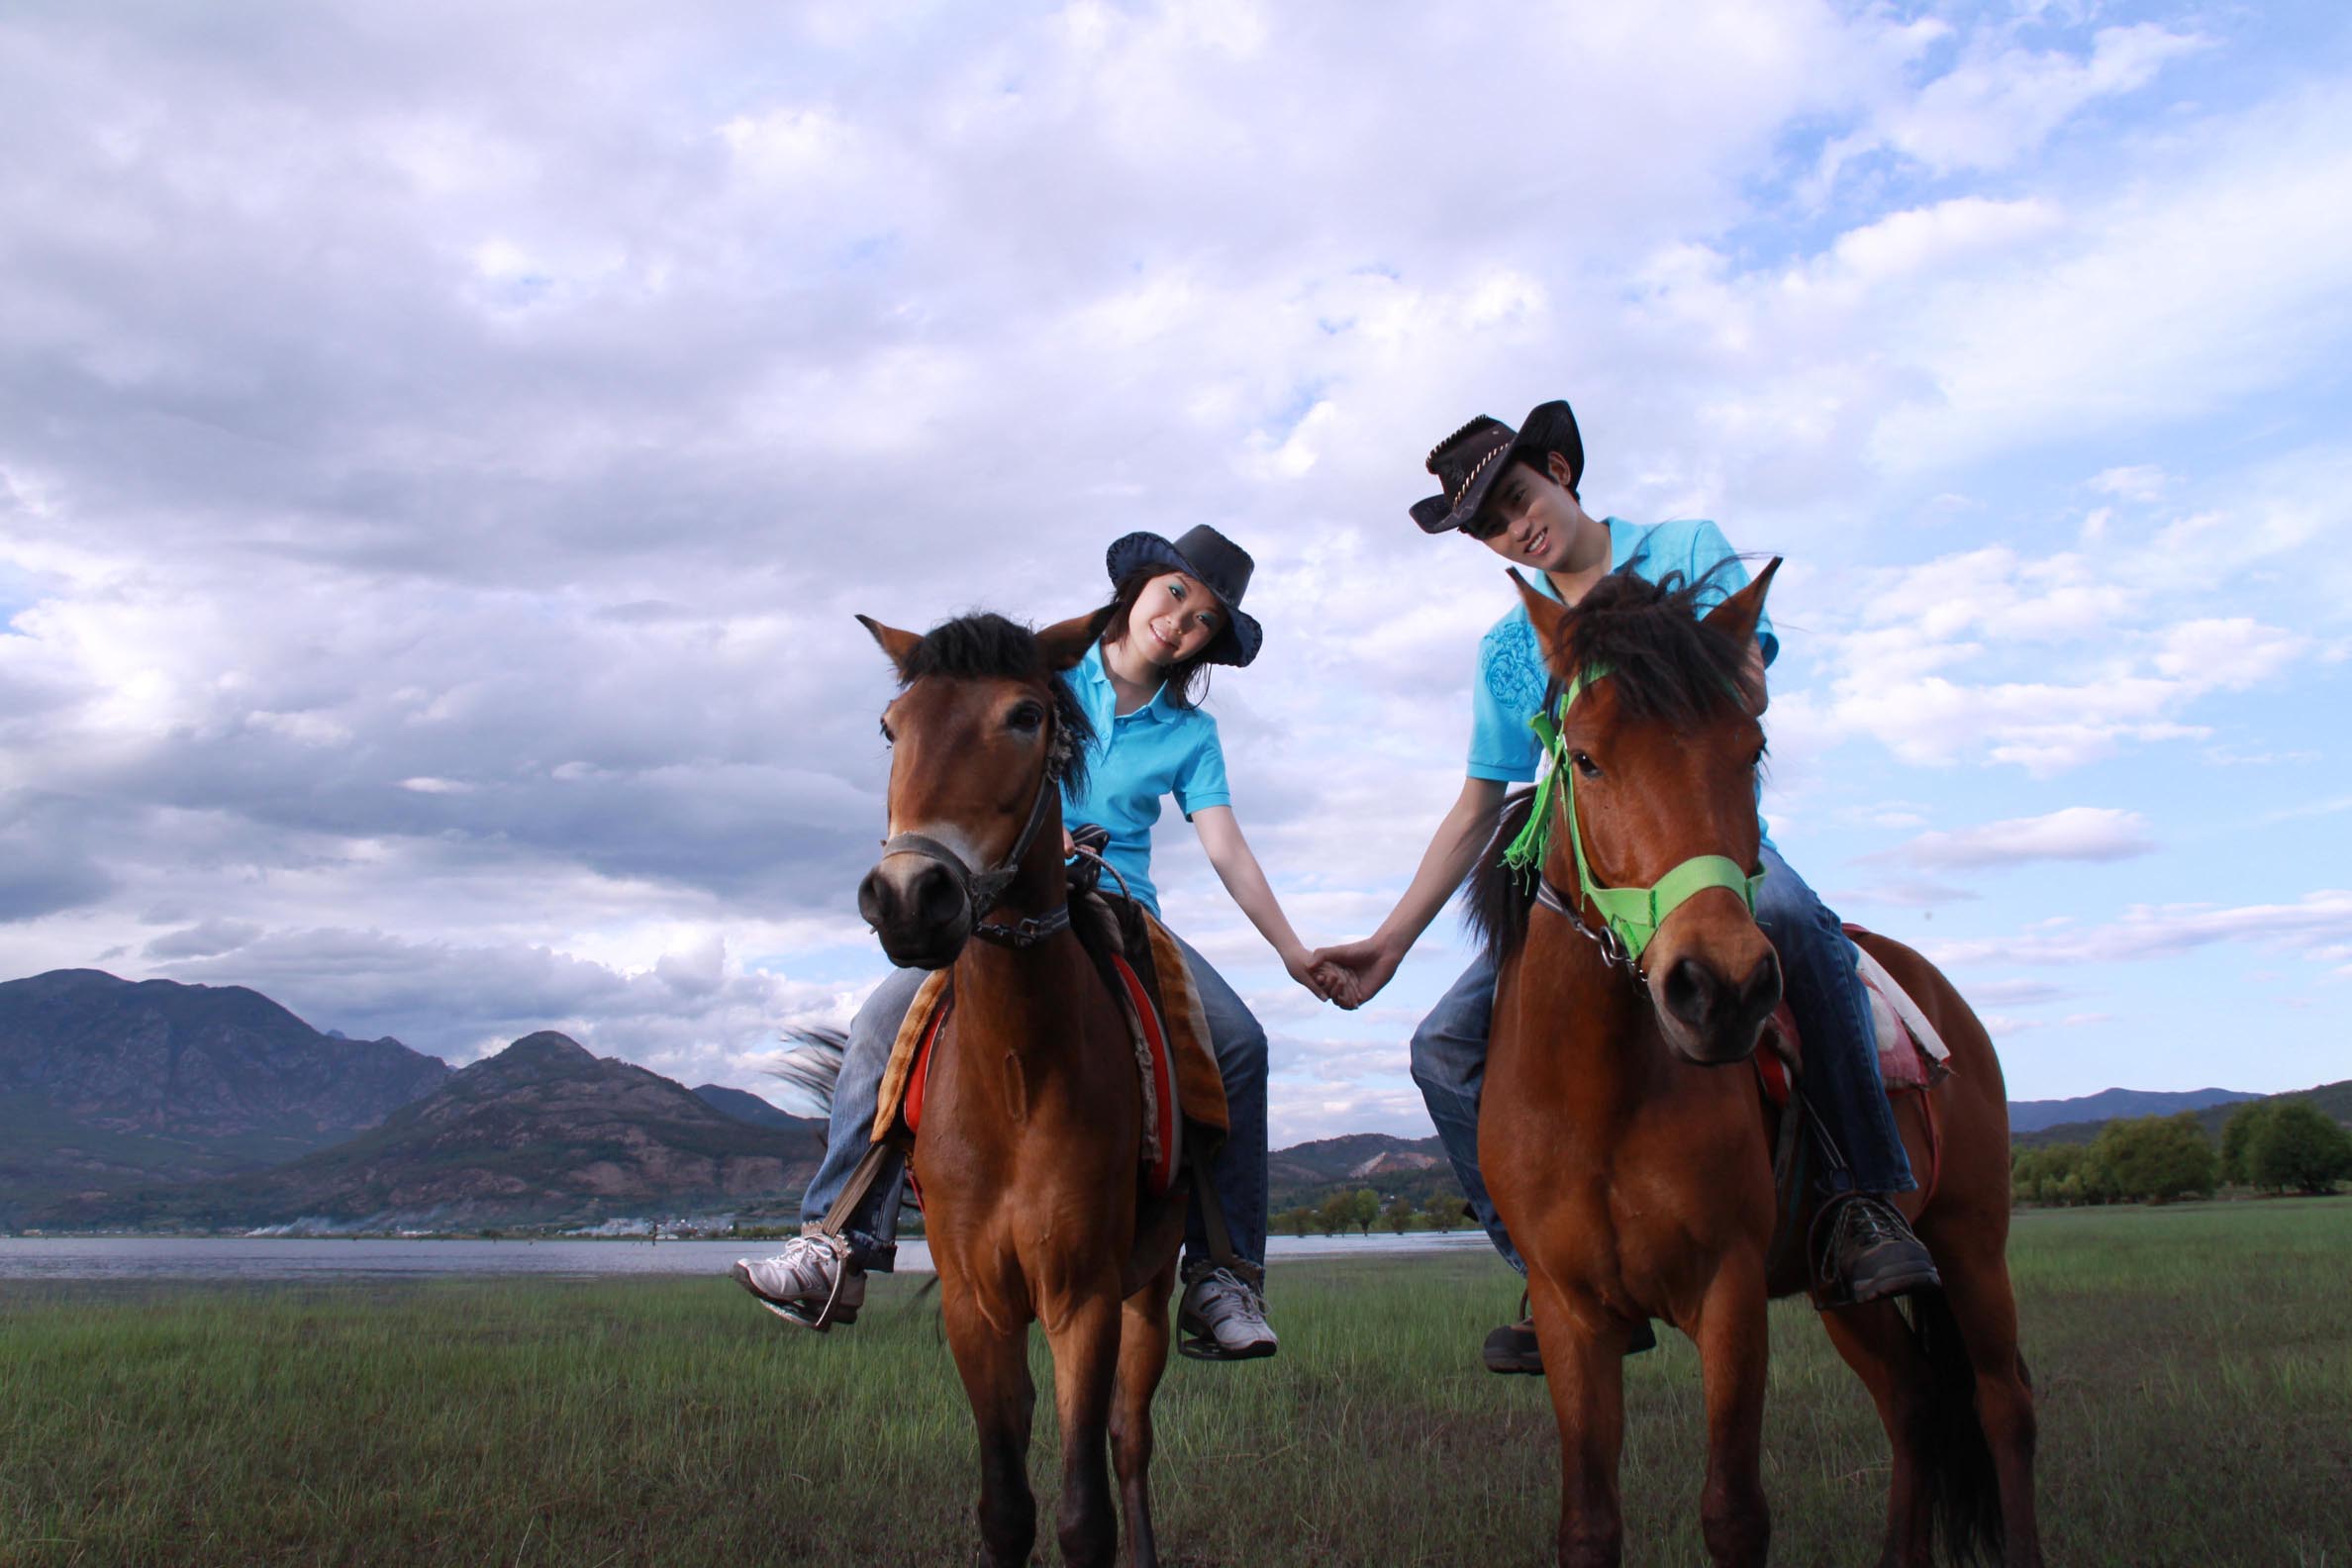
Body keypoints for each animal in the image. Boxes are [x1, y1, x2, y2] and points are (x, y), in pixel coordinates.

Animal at [855, 606, 1185, 1568]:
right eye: (891, 728)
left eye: (1026, 716)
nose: (908, 896)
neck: (1014, 1079)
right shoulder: (980, 1305)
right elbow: (1005, 1506)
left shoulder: (1084, 1298)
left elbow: (1084, 1514)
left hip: (1151, 1289)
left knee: (1130, 1440)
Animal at [1467, 566, 2041, 1568]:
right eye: (1586, 759)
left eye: (1753, 749)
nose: (1721, 987)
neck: (1598, 1096)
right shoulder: (1574, 1316)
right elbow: (1589, 1523)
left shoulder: (1729, 1293)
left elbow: (1734, 1511)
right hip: (1841, 1291)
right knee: (1915, 1403)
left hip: (1972, 1244)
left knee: (2004, 1407)